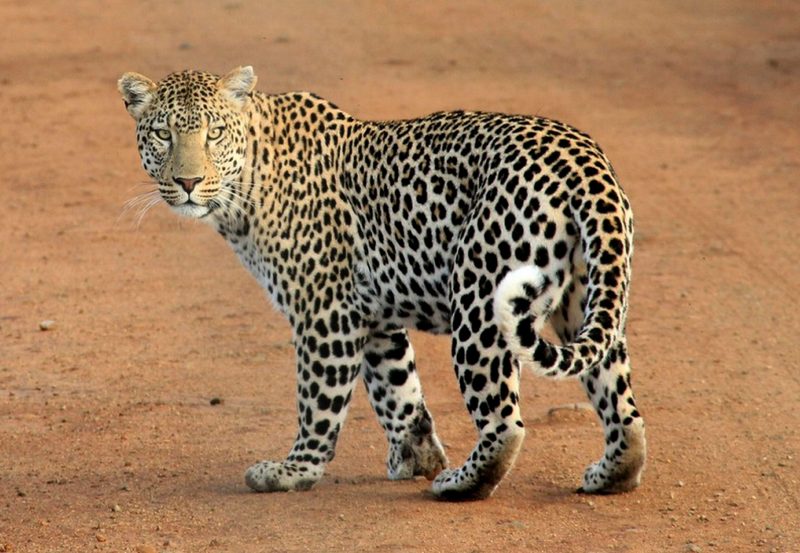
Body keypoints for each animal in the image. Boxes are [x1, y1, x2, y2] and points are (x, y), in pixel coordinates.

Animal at [117, 66, 644, 500]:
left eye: (215, 133)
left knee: (504, 423)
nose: (187, 182)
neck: (248, 182)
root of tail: (584, 161)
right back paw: (611, 474)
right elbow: (398, 391)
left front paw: (294, 471)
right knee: (622, 405)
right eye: (163, 134)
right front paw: (417, 456)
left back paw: (460, 483)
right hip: (587, 298)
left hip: (480, 301)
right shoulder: (372, 316)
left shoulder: (325, 312)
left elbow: (319, 401)